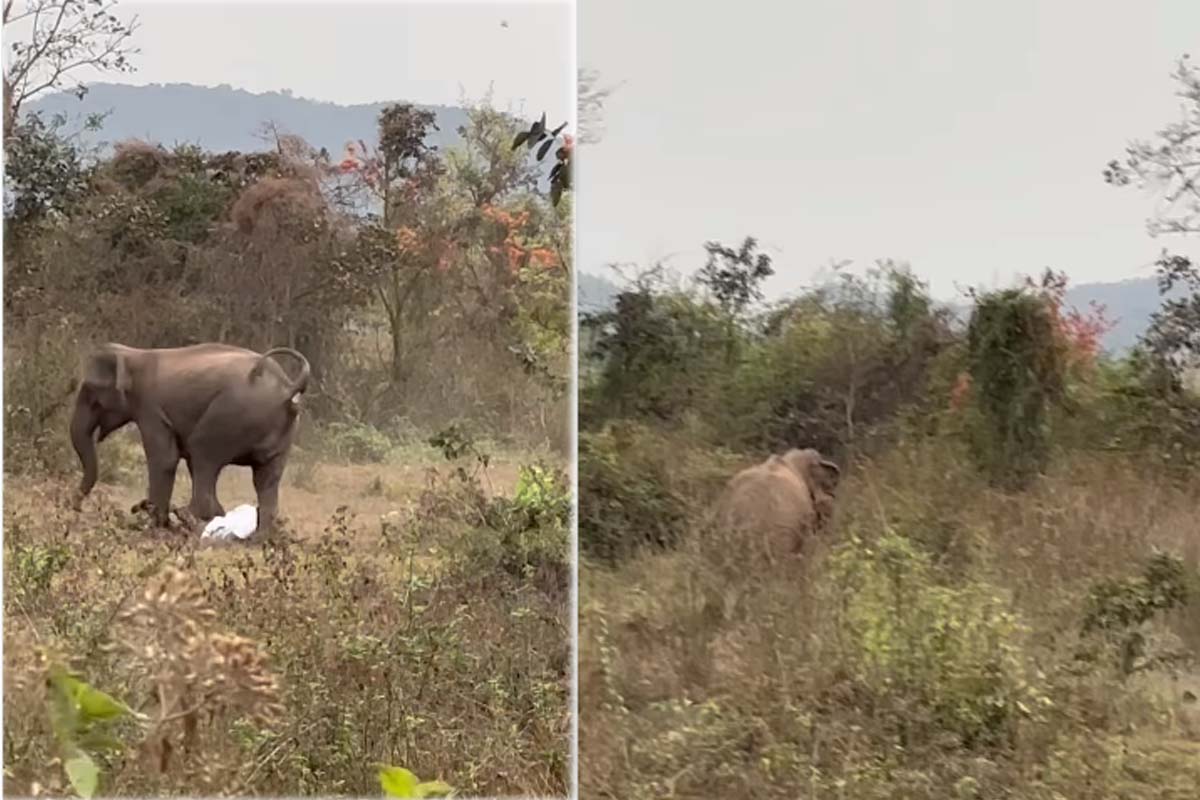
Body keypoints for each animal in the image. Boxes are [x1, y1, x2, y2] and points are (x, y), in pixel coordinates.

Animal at [69, 342, 310, 536]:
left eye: (91, 392)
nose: (76, 508)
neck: (133, 354)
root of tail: (289, 387)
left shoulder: (150, 408)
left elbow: (165, 459)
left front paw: (152, 526)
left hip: (232, 415)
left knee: (203, 452)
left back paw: (187, 517)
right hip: (281, 434)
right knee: (265, 479)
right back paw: (258, 538)